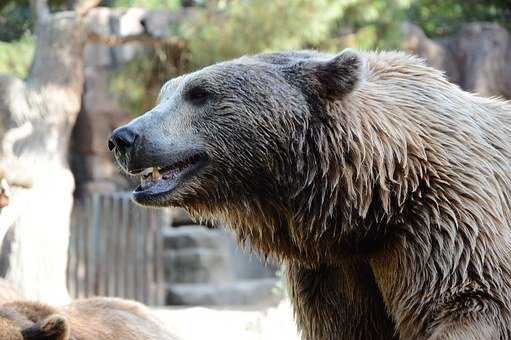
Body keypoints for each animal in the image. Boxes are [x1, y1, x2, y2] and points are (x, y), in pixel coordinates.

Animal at [110, 48, 511, 340]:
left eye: (199, 93)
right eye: (165, 93)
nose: (123, 137)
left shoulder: (443, 218)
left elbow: (469, 301)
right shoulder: (335, 269)